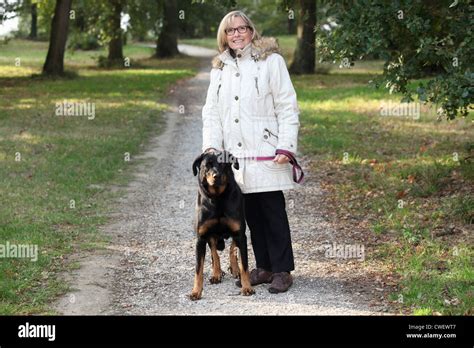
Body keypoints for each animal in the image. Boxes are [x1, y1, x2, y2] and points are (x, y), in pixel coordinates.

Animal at [190, 151, 256, 300]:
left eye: (223, 164)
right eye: (207, 165)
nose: (216, 176)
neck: (217, 198)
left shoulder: (240, 234)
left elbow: (244, 265)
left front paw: (247, 287)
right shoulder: (201, 238)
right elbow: (198, 268)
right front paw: (196, 291)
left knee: (232, 249)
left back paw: (234, 269)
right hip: (210, 235)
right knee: (215, 253)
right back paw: (216, 273)